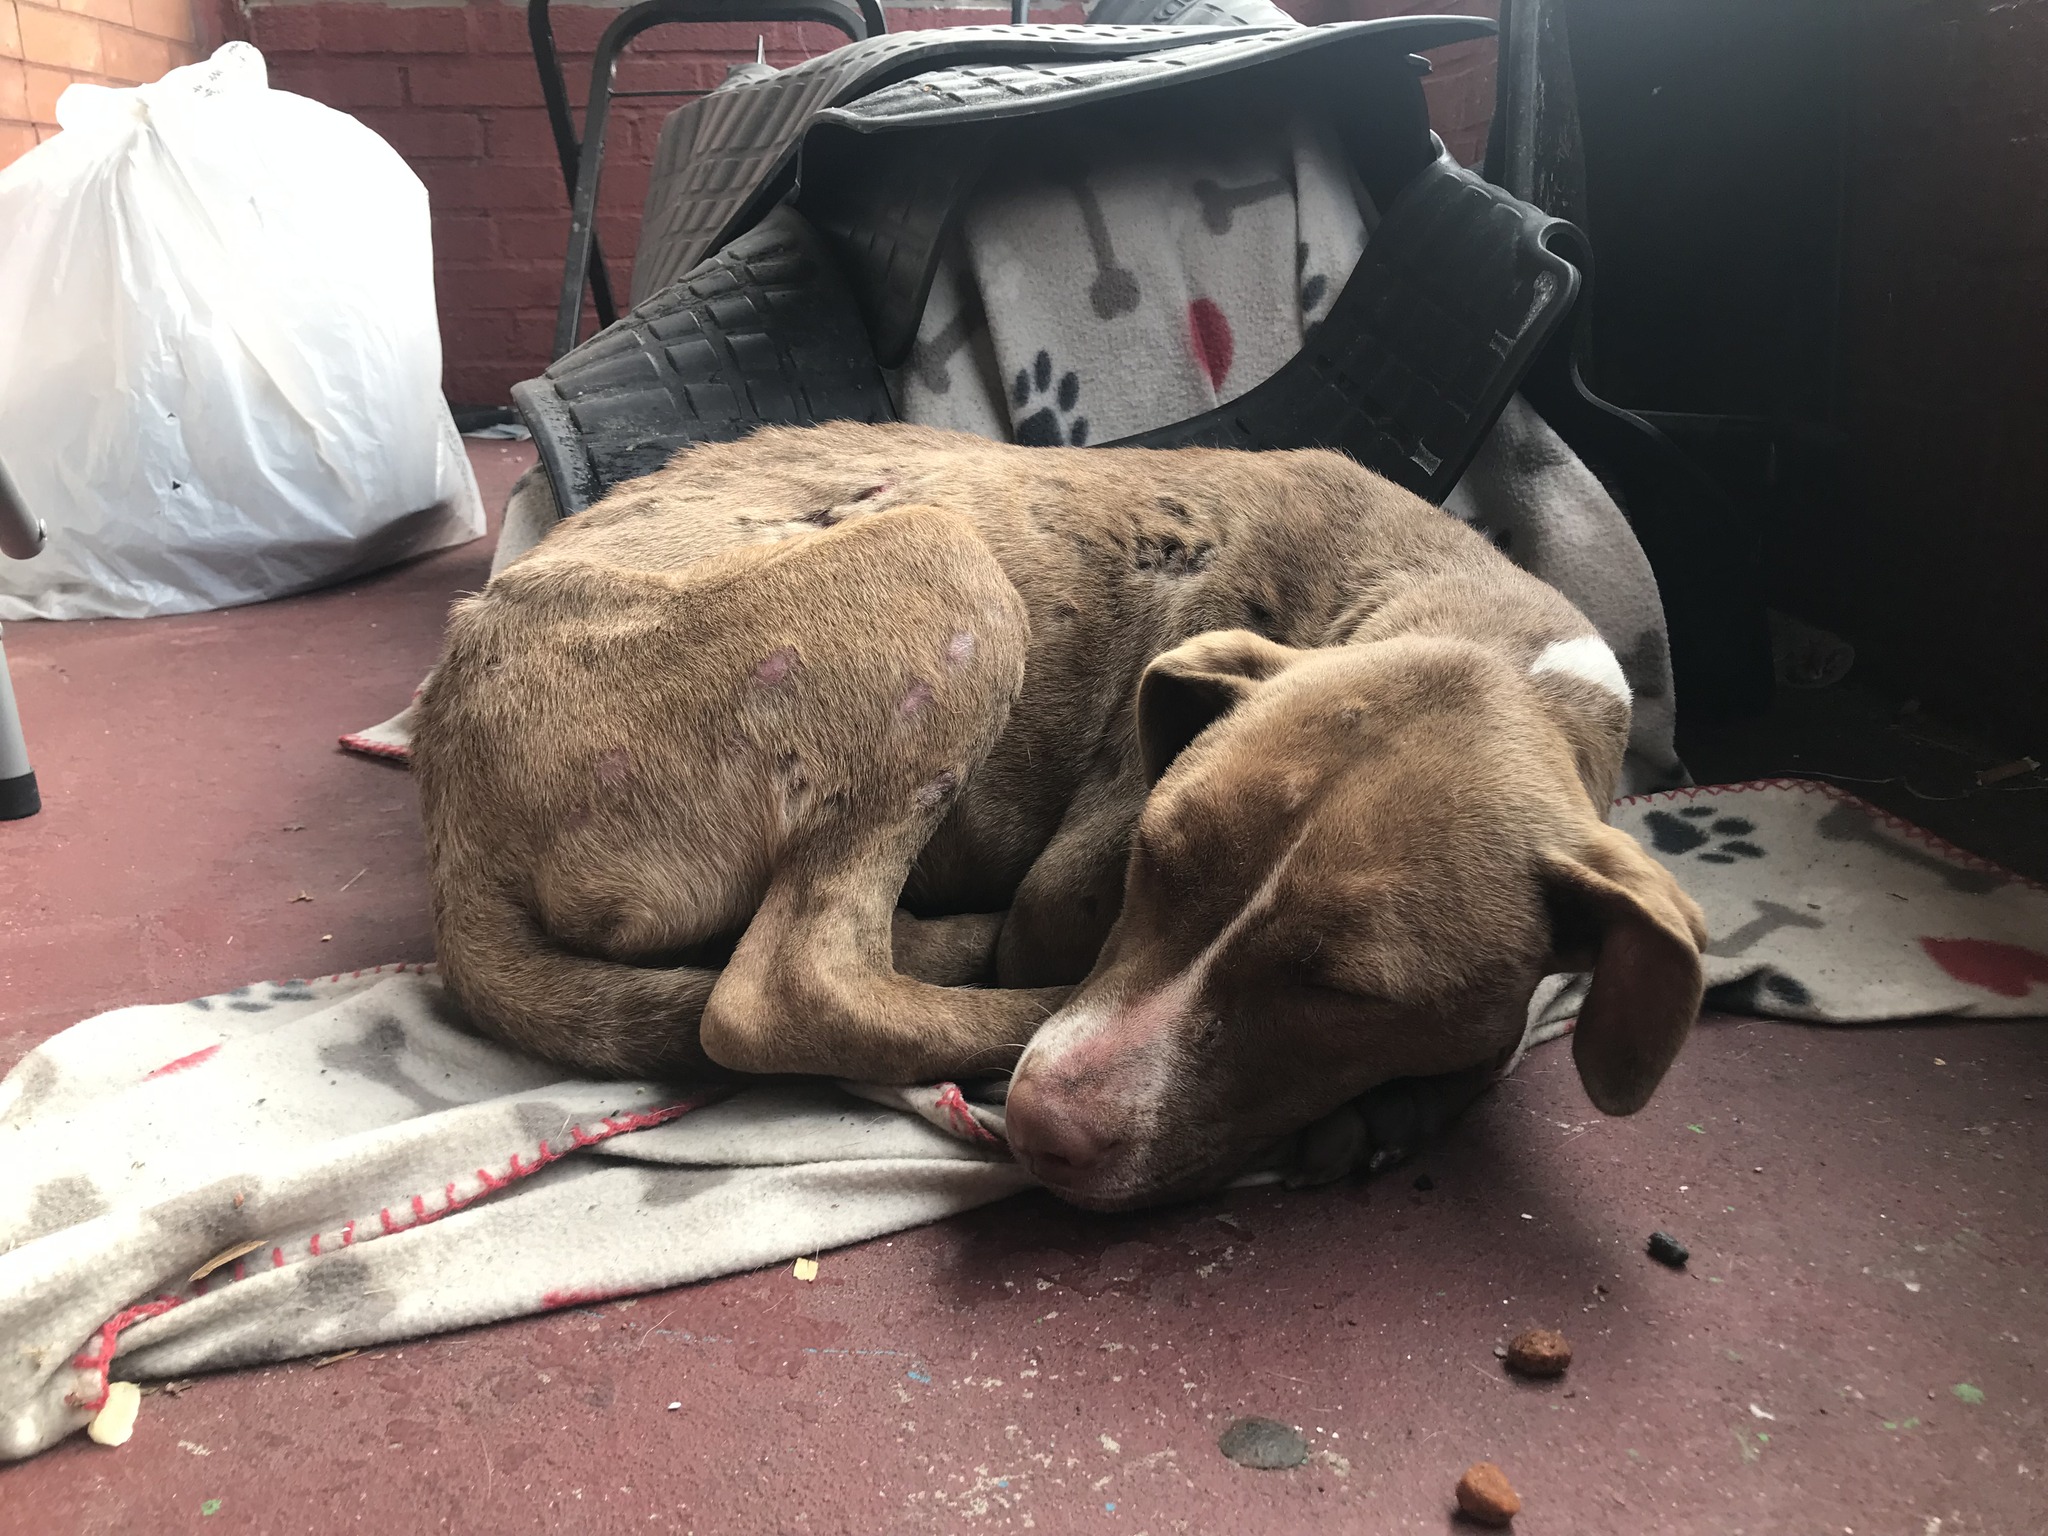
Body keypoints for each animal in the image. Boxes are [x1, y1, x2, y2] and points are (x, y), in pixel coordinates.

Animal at [407, 423, 1703, 1212]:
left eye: (1342, 992)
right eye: (1151, 861)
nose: (1049, 1125)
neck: (1487, 634)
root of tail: (449, 808)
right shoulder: (1069, 888)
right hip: (939, 570)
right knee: (790, 986)